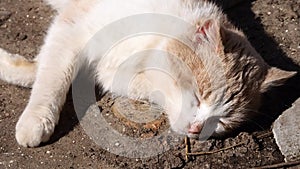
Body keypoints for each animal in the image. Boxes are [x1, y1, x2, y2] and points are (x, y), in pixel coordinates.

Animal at [0, 0, 296, 147]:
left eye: (221, 122)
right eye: (198, 96)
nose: (197, 129)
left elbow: (46, 68)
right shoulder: (72, 28)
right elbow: (51, 77)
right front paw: (37, 119)